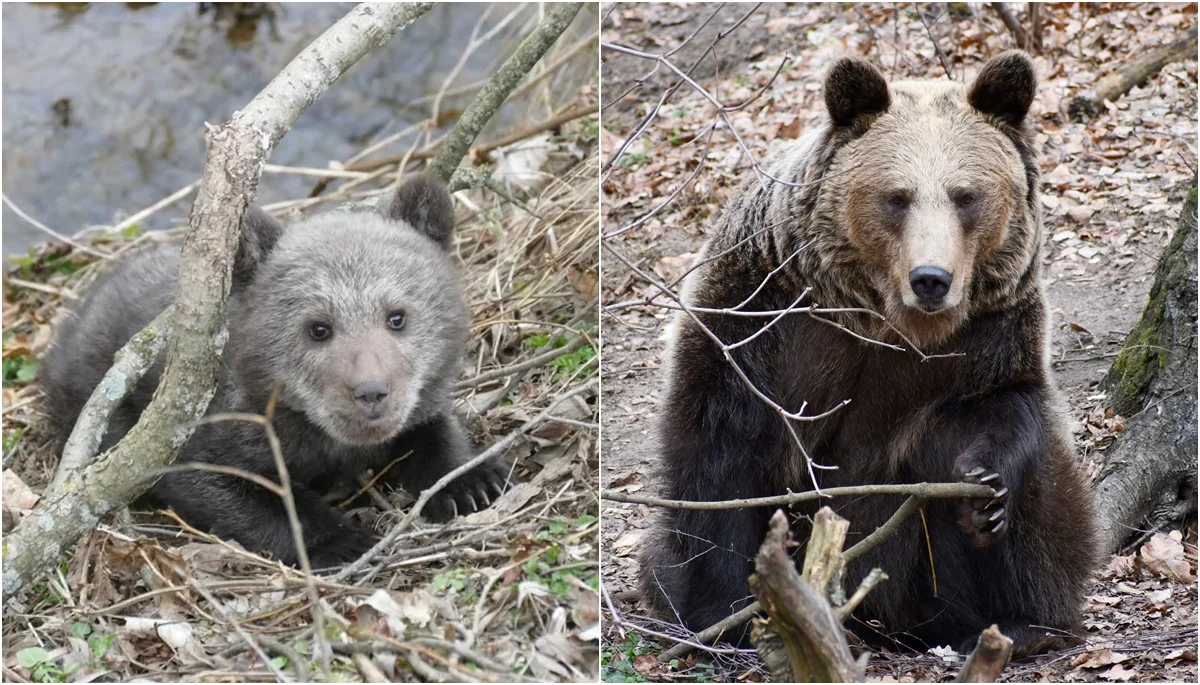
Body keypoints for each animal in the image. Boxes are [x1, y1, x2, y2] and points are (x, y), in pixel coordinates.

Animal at [643, 50, 1099, 657]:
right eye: (897, 197)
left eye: (966, 195)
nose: (931, 278)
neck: (882, 321)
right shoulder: (760, 321)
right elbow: (721, 458)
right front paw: (729, 615)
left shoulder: (984, 339)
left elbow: (998, 412)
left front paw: (984, 490)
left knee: (1047, 520)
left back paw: (1019, 624)